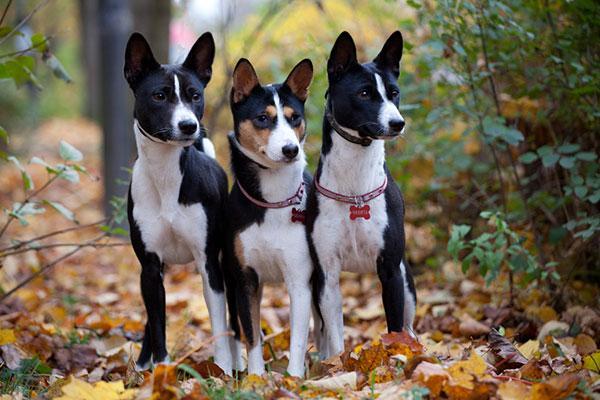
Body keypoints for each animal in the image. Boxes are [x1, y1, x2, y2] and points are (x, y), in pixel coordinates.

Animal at [123, 32, 238, 374]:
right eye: (159, 96)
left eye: (195, 95)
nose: (189, 126)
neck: (166, 178)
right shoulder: (149, 266)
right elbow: (158, 324)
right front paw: (160, 370)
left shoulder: (208, 263)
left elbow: (218, 324)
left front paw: (222, 371)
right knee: (152, 319)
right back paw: (143, 365)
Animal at [224, 57, 314, 376]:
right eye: (263, 118)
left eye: (294, 118)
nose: (291, 150)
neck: (273, 201)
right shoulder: (245, 279)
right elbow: (251, 334)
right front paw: (256, 378)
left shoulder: (299, 278)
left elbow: (298, 339)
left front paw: (294, 378)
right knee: (235, 329)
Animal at [304, 30, 418, 356]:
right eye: (364, 93)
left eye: (394, 93)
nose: (398, 123)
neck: (354, 187)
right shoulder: (327, 274)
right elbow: (335, 337)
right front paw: (336, 365)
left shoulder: (390, 270)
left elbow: (395, 330)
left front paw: (397, 361)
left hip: (406, 279)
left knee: (409, 328)